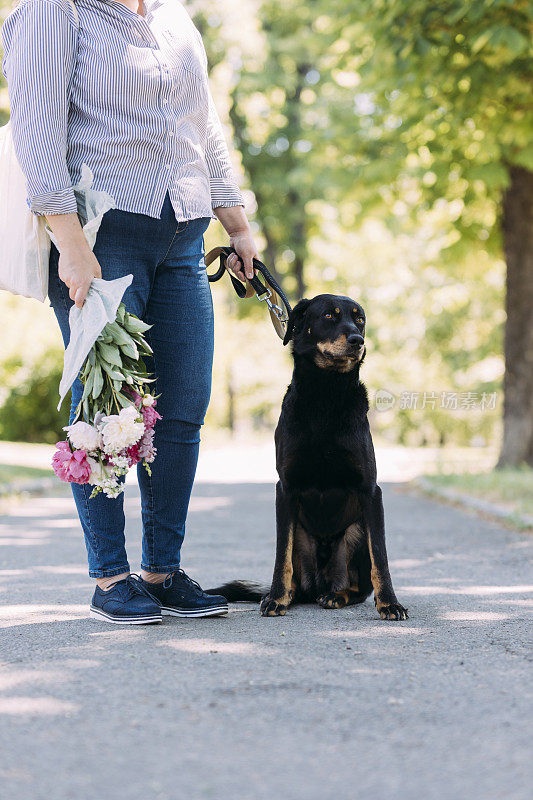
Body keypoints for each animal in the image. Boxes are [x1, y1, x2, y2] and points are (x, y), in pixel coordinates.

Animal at [209, 296, 408, 620]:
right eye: (328, 316)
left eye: (360, 319)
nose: (358, 340)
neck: (325, 395)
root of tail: (316, 586)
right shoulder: (285, 489)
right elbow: (282, 555)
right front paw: (276, 598)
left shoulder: (370, 490)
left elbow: (381, 556)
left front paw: (390, 602)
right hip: (302, 536)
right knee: (295, 575)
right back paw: (286, 595)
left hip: (355, 532)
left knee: (357, 588)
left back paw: (336, 595)